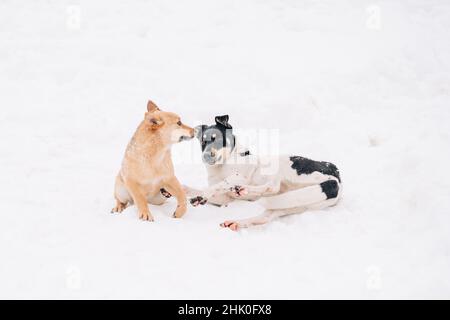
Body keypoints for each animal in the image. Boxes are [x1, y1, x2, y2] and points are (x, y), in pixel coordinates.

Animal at [185, 116, 342, 231]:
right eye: (203, 142)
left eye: (217, 138)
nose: (206, 156)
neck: (223, 163)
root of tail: (337, 179)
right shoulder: (225, 199)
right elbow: (201, 189)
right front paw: (188, 192)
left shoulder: (239, 176)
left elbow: (218, 185)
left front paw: (200, 196)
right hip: (293, 203)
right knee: (265, 216)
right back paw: (237, 222)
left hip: (285, 166)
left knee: (272, 186)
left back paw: (243, 190)